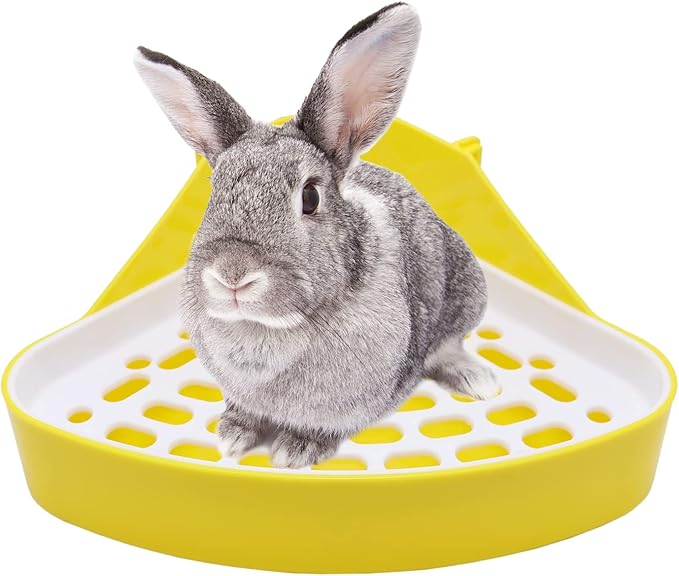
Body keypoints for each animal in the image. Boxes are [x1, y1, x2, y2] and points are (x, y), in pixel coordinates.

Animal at [134, 2, 500, 469]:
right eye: (214, 192)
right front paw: (233, 436)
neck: (266, 327)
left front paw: (295, 452)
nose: (233, 274)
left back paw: (477, 379)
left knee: (450, 344)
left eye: (310, 196)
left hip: (467, 293)